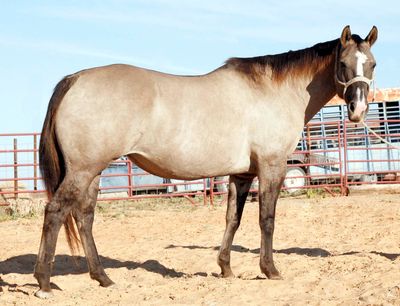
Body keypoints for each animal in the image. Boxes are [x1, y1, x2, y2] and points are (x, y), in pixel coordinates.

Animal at [32, 25, 376, 298]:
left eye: (372, 63)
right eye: (343, 63)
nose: (358, 109)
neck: (272, 92)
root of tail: (75, 79)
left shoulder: (242, 174)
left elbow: (232, 219)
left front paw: (225, 268)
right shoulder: (272, 167)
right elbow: (266, 219)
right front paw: (269, 269)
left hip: (92, 172)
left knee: (84, 217)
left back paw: (102, 278)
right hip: (83, 170)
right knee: (55, 212)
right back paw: (44, 282)